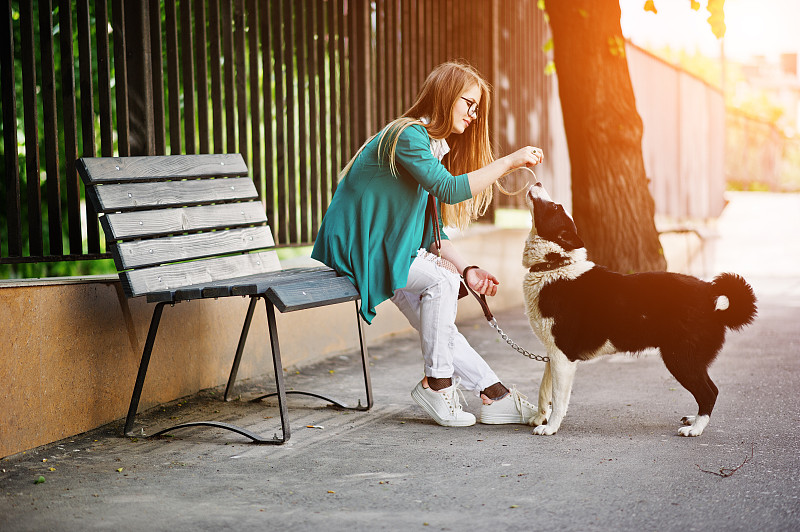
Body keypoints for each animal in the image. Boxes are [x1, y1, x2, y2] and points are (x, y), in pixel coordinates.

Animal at [524, 183, 756, 436]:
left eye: (555, 207)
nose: (537, 183)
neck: (553, 266)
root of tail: (711, 297)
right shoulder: (552, 354)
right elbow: (543, 391)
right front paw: (539, 418)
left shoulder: (563, 356)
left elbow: (558, 398)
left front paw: (550, 427)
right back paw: (693, 420)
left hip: (680, 359)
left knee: (709, 392)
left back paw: (695, 429)